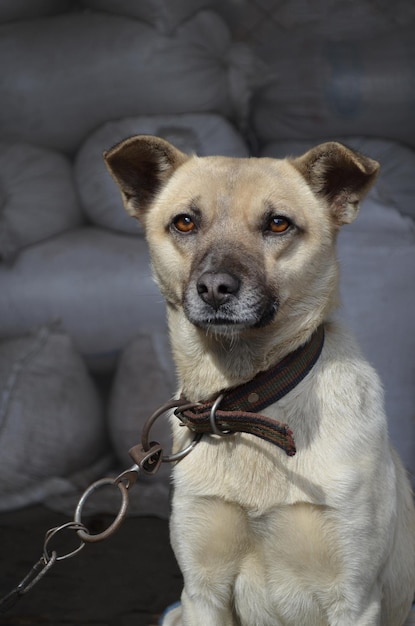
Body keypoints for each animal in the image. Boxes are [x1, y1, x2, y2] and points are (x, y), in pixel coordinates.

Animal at [105, 138, 415, 624]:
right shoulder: (202, 592)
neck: (245, 406)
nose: (215, 287)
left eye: (277, 223)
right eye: (185, 221)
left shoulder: (354, 598)